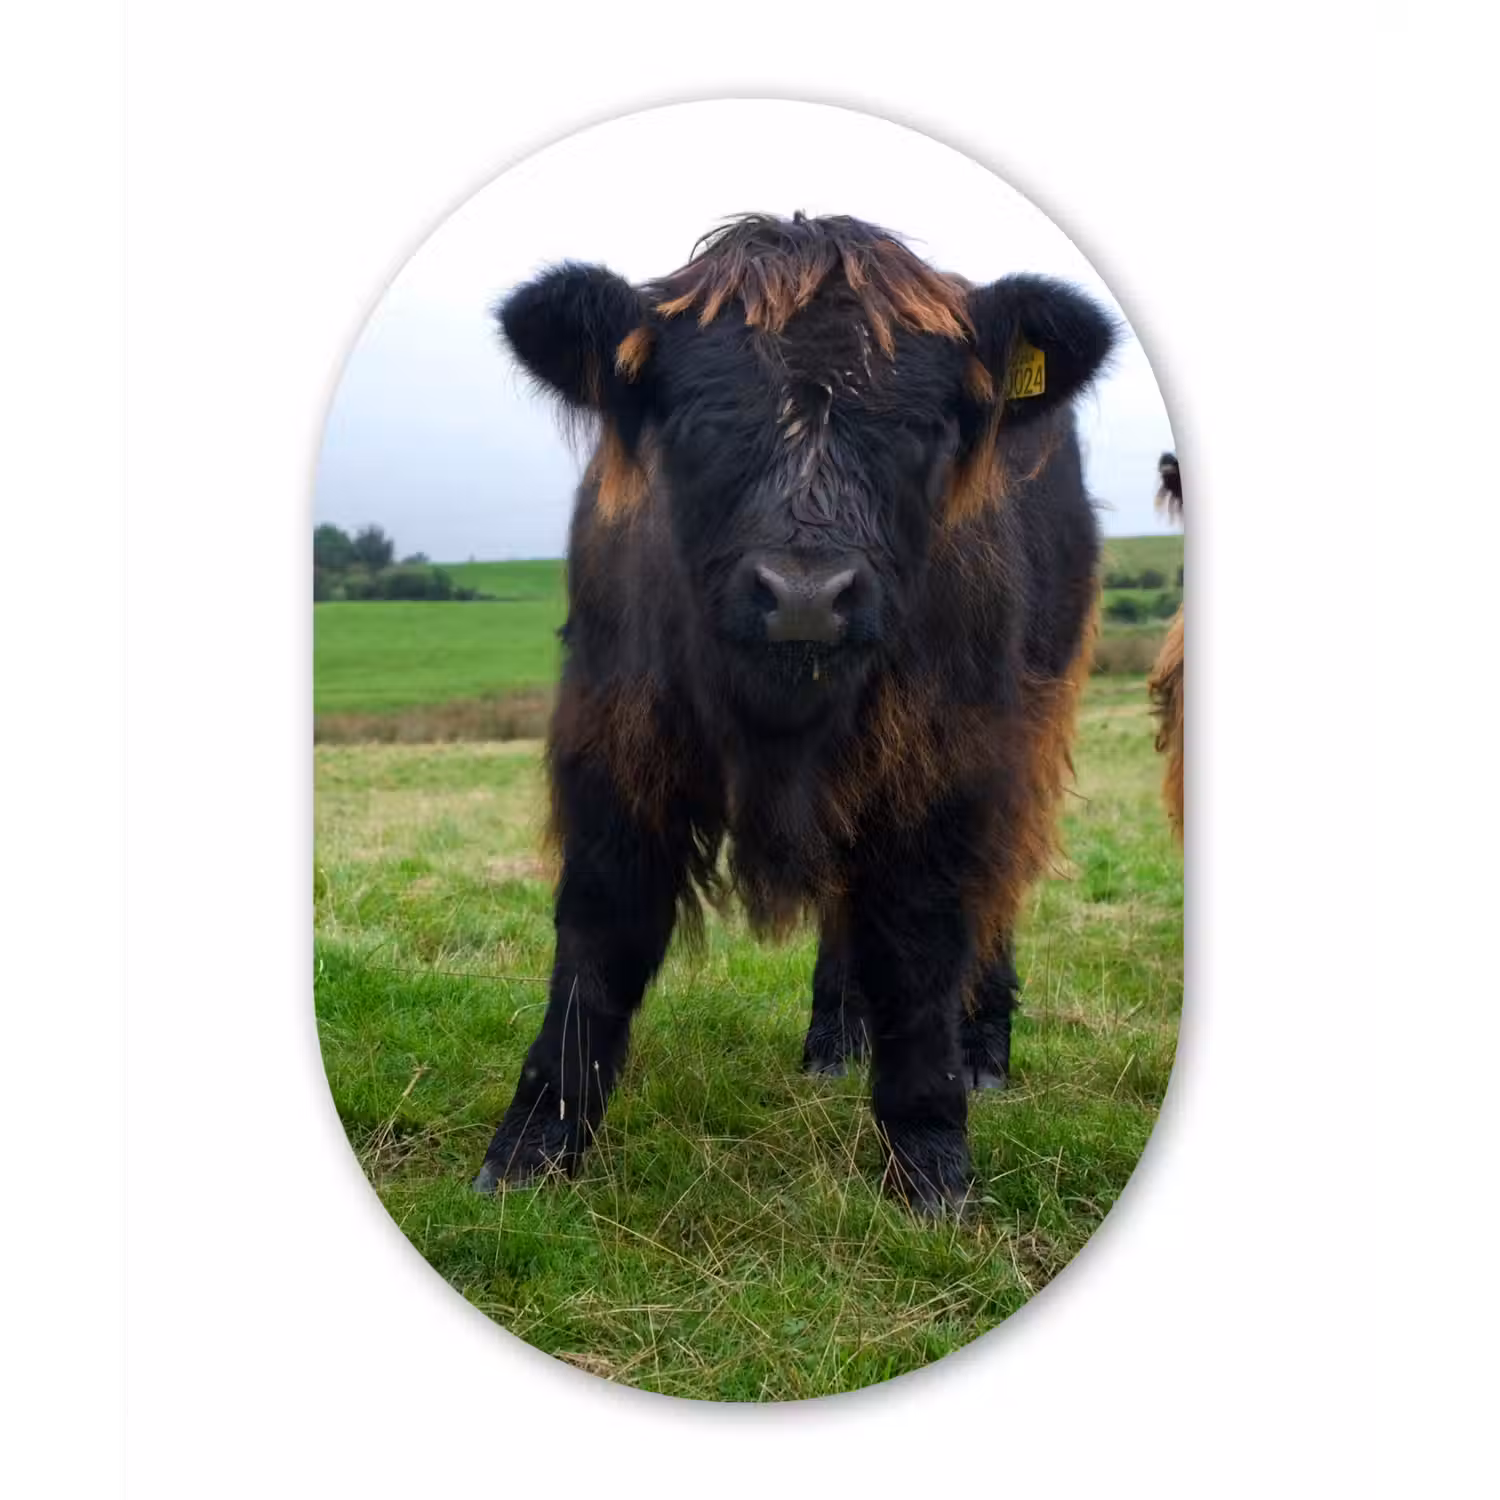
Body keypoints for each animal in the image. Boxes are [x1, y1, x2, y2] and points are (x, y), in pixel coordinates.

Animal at [473, 213, 1117, 1215]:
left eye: (924, 426)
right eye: (697, 419)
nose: (807, 596)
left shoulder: (949, 758)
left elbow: (922, 941)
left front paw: (931, 1162)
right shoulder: (613, 740)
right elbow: (599, 935)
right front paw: (530, 1150)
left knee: (996, 889)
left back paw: (984, 1055)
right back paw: (833, 1041)